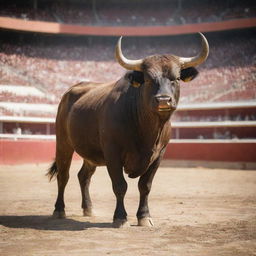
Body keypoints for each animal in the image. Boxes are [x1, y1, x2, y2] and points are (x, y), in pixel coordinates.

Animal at [47, 33, 208, 227]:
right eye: (148, 79)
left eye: (175, 78)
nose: (163, 100)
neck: (148, 131)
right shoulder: (112, 153)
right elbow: (120, 186)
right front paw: (120, 217)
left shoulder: (159, 155)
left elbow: (145, 186)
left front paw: (144, 216)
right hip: (63, 143)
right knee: (63, 176)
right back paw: (59, 210)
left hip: (90, 154)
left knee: (84, 176)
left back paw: (88, 209)